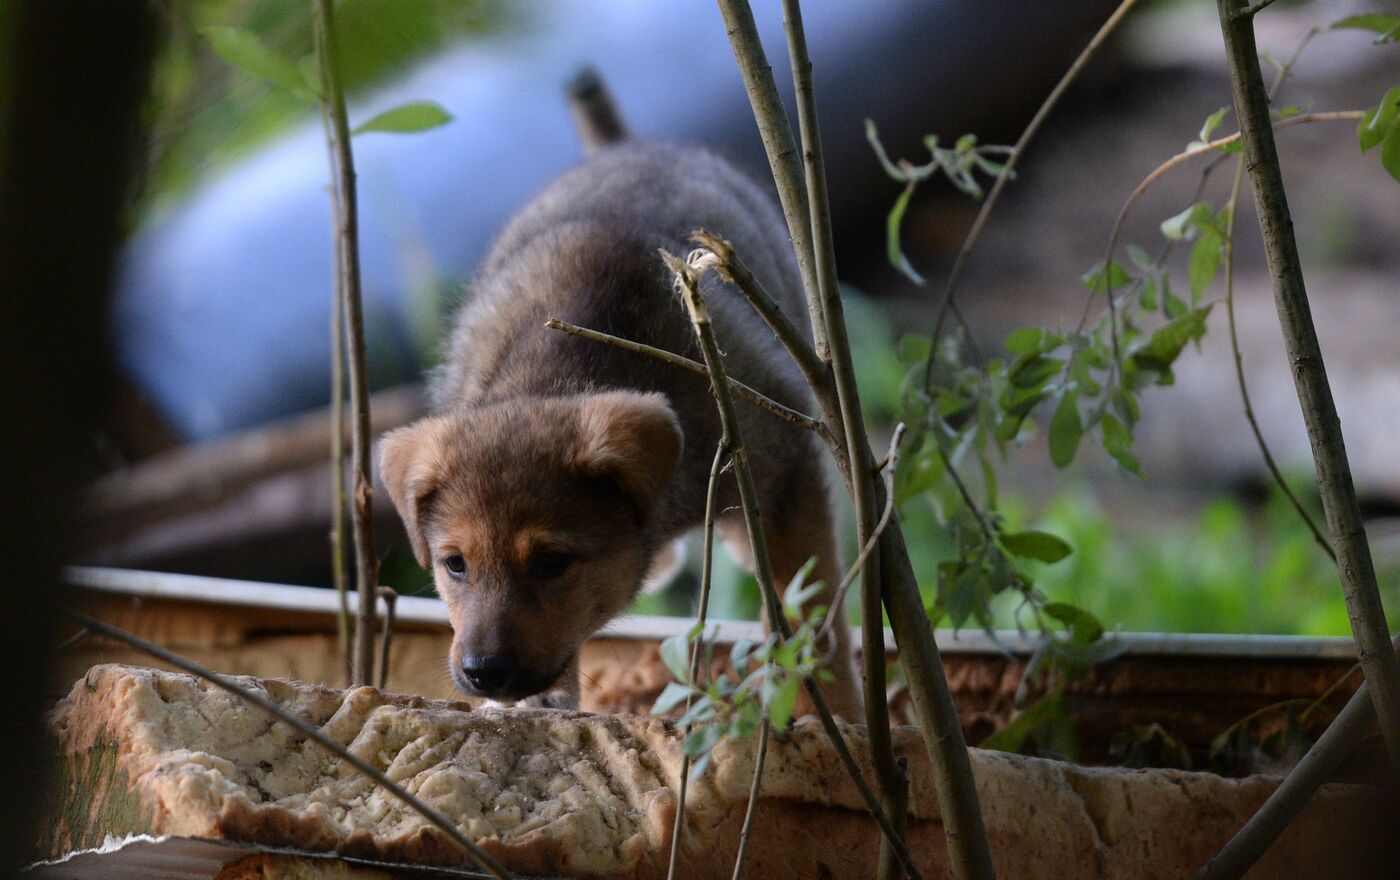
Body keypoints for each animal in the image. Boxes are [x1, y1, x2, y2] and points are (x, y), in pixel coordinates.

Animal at [383, 137, 862, 713]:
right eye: (454, 564)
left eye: (551, 562)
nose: (484, 672)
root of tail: (644, 146)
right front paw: (542, 705)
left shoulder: (788, 479)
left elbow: (811, 617)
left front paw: (835, 717)